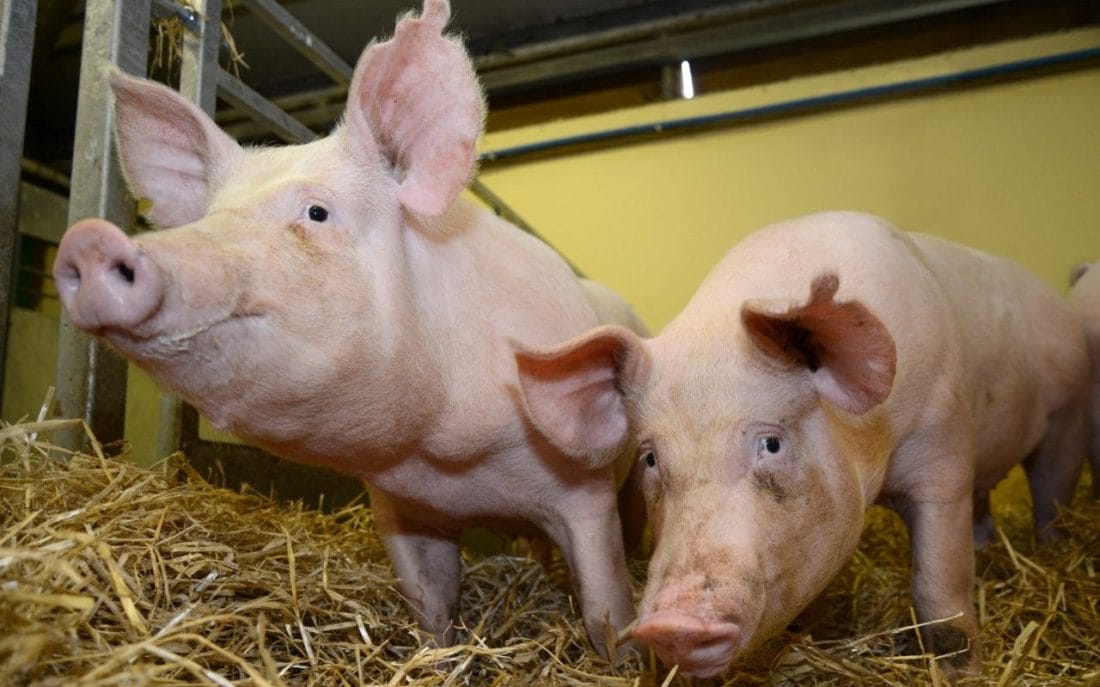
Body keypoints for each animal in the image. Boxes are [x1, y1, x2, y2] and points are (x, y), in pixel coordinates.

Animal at [51, 0, 645, 659]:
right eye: (211, 215)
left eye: (316, 212)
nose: (89, 239)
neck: (450, 458)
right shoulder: (398, 504)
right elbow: (430, 602)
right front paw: (439, 654)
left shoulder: (586, 488)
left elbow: (604, 606)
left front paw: (623, 659)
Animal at [514, 211, 1089, 679]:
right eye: (652, 457)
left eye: (771, 443)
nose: (672, 625)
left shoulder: (942, 441)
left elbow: (938, 583)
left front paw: (961, 672)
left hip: (1070, 414)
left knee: (1051, 488)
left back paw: (1052, 548)